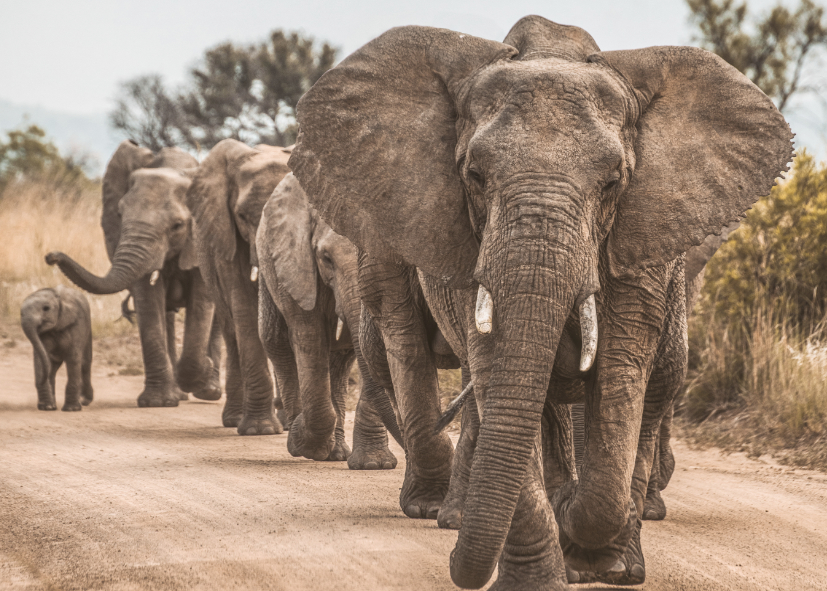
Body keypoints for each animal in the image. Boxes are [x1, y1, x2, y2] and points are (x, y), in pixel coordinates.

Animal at [47, 140, 222, 408]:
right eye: (119, 215)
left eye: (178, 226)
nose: (51, 257)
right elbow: (148, 301)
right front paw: (158, 402)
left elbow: (202, 302)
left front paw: (201, 373)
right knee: (167, 314)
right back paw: (179, 393)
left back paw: (209, 391)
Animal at [184, 139, 292, 434]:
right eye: (242, 215)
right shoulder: (226, 235)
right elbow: (244, 307)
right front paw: (260, 429)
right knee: (232, 332)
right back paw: (235, 419)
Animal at [258, 171, 402, 468]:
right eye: (326, 258)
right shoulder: (297, 263)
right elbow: (309, 337)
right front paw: (302, 442)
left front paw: (375, 465)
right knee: (276, 341)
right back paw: (300, 436)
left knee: (341, 360)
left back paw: (335, 453)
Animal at [288, 16, 792, 588]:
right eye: (474, 177)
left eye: (613, 182)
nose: (458, 566)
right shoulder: (470, 247)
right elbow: (498, 371)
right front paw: (543, 569)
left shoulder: (641, 241)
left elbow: (620, 374)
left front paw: (598, 557)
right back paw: (454, 513)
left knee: (653, 385)